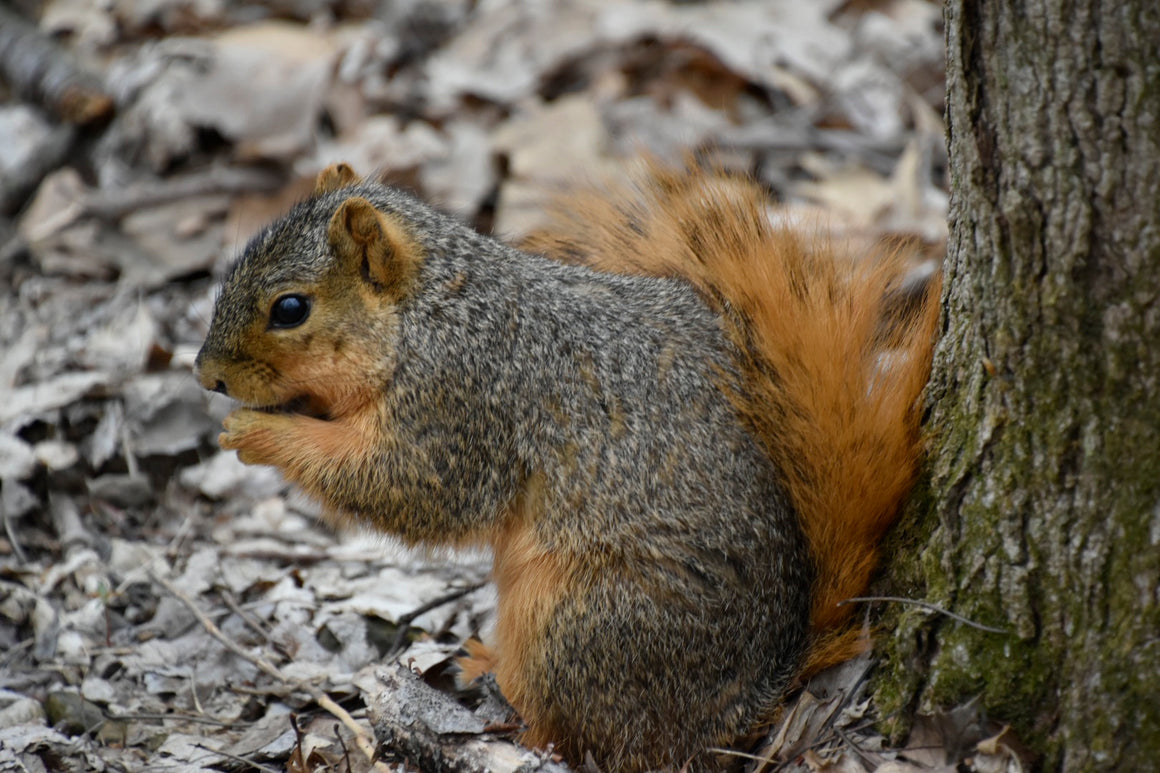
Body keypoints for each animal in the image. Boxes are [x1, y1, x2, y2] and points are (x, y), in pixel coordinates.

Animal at [195, 161, 940, 772]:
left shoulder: (460, 403)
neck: (430, 310)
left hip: (580, 621)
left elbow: (411, 487)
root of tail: (747, 701)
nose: (206, 377)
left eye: (291, 309)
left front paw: (262, 431)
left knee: (602, 741)